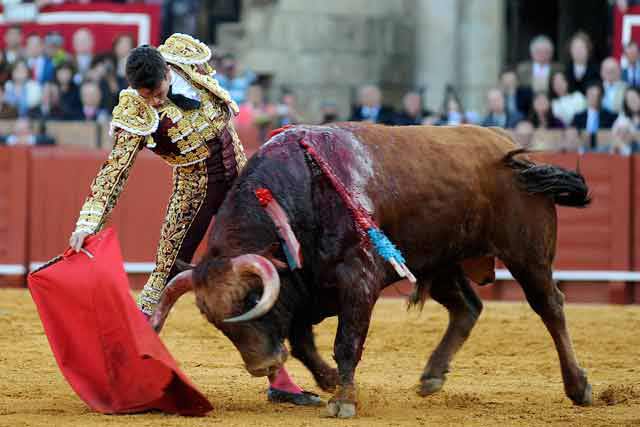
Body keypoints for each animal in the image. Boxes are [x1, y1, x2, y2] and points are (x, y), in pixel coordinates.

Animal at [150, 123, 592, 418]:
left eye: (253, 298)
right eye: (216, 322)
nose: (262, 366)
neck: (300, 193)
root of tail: (513, 149)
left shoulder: (358, 279)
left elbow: (346, 341)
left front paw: (343, 400)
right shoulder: (305, 287)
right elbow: (303, 341)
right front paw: (329, 381)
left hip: (528, 254)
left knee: (550, 306)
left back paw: (579, 387)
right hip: (438, 260)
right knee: (467, 307)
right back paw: (432, 376)